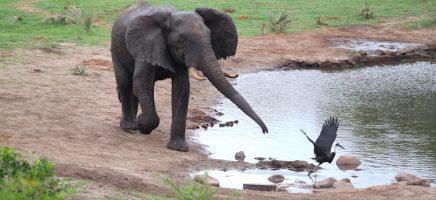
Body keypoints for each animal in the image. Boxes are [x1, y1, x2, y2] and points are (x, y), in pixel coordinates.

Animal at [110, 1, 268, 152]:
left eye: (209, 37)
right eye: (181, 40)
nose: (265, 131)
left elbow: (182, 89)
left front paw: (178, 148)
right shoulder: (147, 45)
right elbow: (141, 83)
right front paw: (142, 125)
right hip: (115, 49)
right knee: (126, 83)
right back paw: (130, 126)